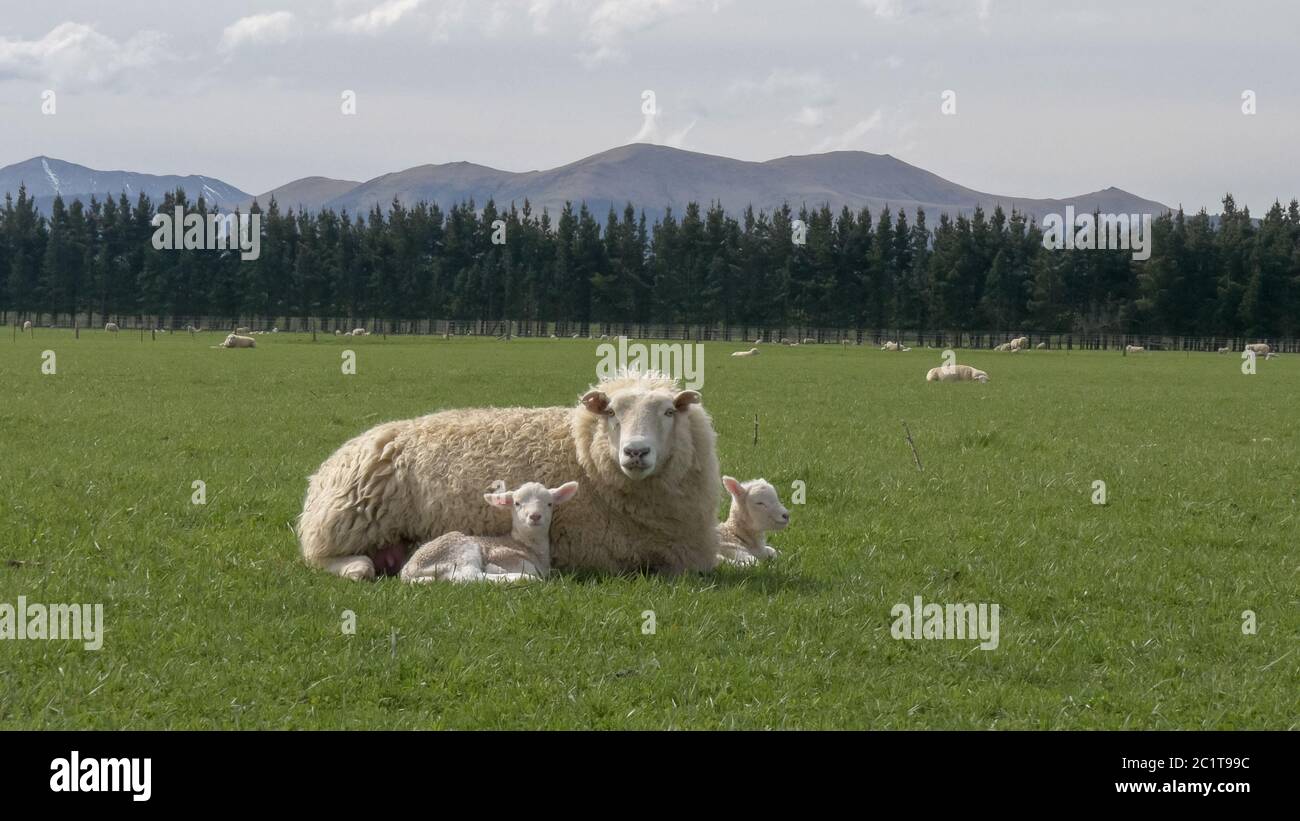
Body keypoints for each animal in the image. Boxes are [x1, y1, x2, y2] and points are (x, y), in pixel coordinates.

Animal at [401, 481, 580, 584]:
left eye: (549, 503)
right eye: (517, 503)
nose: (535, 516)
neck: (525, 544)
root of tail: (407, 570)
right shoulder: (500, 552)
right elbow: (532, 568)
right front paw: (499, 568)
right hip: (459, 549)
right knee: (468, 576)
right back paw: (517, 577)